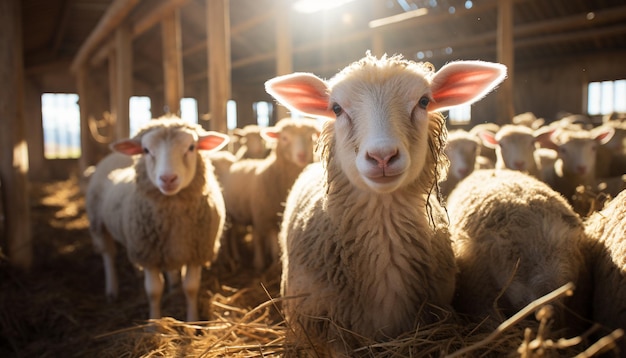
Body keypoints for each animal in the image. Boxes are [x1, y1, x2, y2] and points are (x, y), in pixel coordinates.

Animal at [84, 117, 228, 322]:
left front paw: (192, 321)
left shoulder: (197, 251)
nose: (168, 178)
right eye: (146, 150)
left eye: (191, 147)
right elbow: (154, 291)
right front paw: (154, 324)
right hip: (98, 223)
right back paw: (112, 290)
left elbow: (191, 288)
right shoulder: (148, 253)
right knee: (108, 255)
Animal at [217, 117, 320, 272]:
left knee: (234, 232)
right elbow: (263, 240)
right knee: (229, 235)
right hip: (228, 213)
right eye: (284, 138)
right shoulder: (262, 217)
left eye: (310, 137)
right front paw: (262, 264)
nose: (302, 155)